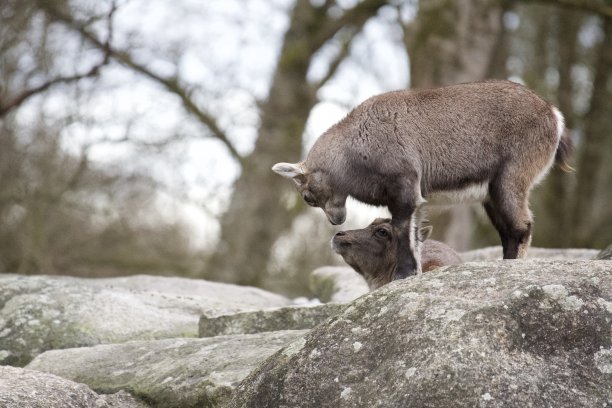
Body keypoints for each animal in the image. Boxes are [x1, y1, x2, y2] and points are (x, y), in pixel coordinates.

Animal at [274, 79, 572, 278]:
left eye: (307, 197)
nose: (337, 221)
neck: (355, 144)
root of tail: (553, 115)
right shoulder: (415, 197)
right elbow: (416, 234)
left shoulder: (404, 188)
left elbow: (403, 230)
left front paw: (405, 274)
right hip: (491, 194)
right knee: (508, 230)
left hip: (510, 178)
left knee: (521, 227)